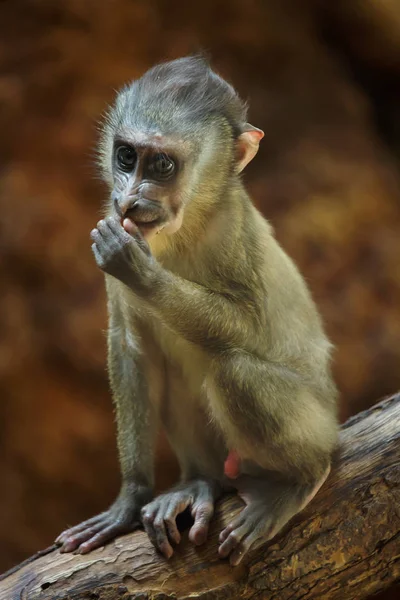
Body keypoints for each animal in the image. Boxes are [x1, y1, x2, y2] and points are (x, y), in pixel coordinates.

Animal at [56, 55, 338, 564]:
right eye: (126, 156)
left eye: (162, 164)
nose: (131, 199)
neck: (185, 227)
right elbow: (131, 350)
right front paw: (130, 498)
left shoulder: (232, 228)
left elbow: (247, 327)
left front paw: (140, 272)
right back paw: (200, 484)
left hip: (318, 425)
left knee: (234, 371)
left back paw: (301, 478)